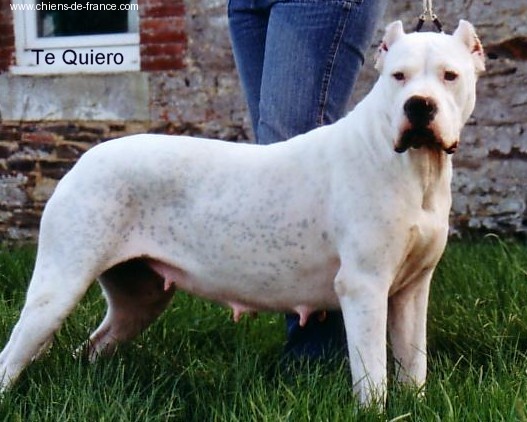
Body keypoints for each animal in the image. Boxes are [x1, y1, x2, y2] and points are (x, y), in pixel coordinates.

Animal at [0, 20, 484, 407]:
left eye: (450, 75)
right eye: (398, 76)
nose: (419, 105)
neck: (416, 166)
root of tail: (83, 160)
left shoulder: (412, 291)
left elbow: (413, 365)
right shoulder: (364, 287)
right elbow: (373, 376)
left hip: (140, 297)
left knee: (94, 347)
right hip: (59, 286)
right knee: (12, 356)